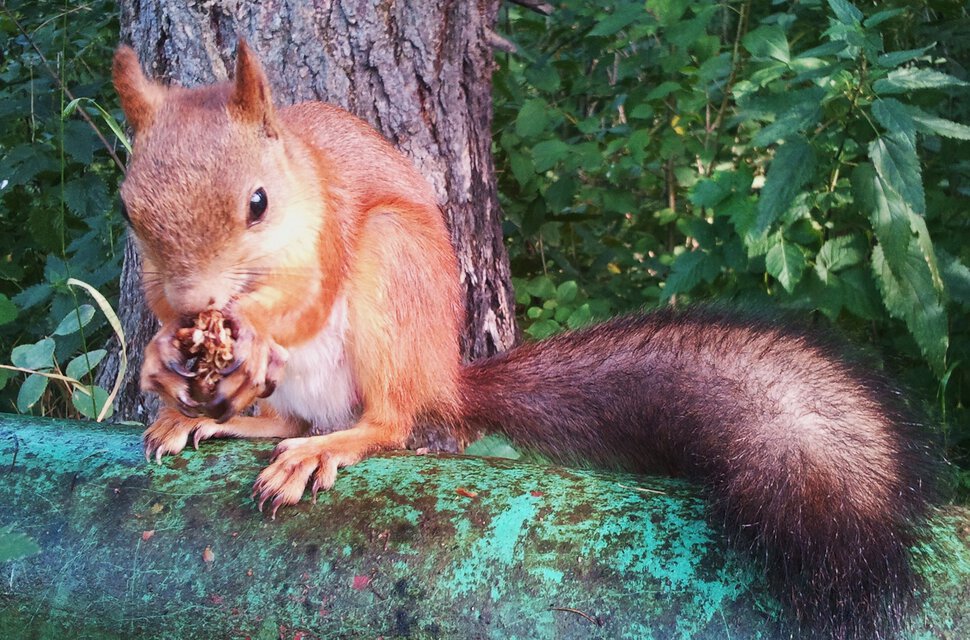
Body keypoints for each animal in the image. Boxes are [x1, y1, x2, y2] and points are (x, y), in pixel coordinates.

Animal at [113, 42, 936, 636]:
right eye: (129, 209)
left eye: (258, 202)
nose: (194, 303)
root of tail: (445, 376)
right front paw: (164, 355)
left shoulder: (327, 241)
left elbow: (303, 302)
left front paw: (245, 337)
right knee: (290, 417)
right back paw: (212, 421)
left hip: (390, 277)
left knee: (391, 422)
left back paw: (325, 445)